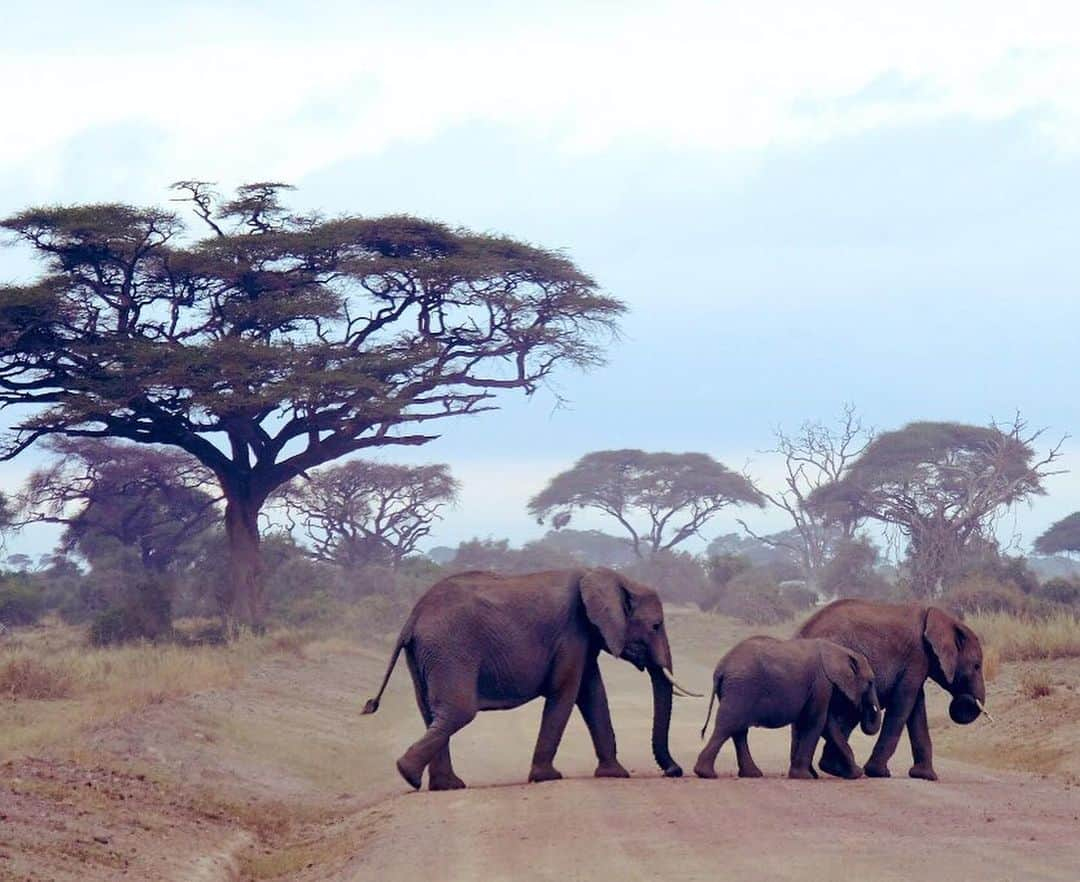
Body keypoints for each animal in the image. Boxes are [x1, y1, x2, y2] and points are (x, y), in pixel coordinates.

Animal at [362, 565, 699, 785]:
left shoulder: (586, 636)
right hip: (450, 649)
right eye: (656, 625)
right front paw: (547, 778)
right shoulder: (572, 633)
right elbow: (567, 692)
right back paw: (409, 774)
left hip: (426, 655)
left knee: (432, 713)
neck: (609, 577)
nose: (675, 771)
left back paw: (442, 785)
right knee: (458, 711)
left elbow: (592, 694)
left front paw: (615, 774)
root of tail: (412, 617)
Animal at [695, 634, 881, 777]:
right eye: (870, 682)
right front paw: (804, 777)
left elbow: (828, 725)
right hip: (741, 687)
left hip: (737, 688)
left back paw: (752, 774)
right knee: (728, 725)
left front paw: (855, 774)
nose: (861, 709)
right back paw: (706, 774)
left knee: (738, 729)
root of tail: (720, 668)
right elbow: (816, 722)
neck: (841, 650)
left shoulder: (821, 688)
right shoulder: (821, 683)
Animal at [799, 600, 989, 777]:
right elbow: (902, 706)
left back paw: (834, 769)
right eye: (977, 666)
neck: (943, 619)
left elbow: (916, 709)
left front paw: (925, 776)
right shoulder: (916, 657)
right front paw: (878, 772)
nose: (966, 698)